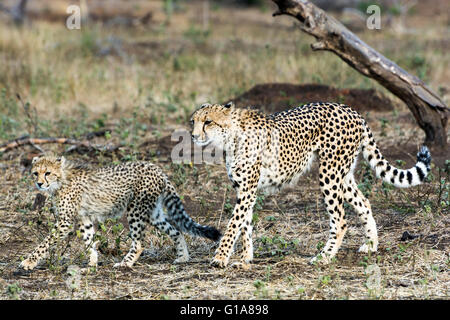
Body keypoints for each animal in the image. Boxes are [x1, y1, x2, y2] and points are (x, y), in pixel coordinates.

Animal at [189, 102, 428, 268]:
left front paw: (220, 258)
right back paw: (370, 244)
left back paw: (325, 256)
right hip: (343, 174)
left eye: (208, 122)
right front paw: (245, 258)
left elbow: (233, 224)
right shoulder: (244, 188)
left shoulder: (247, 189)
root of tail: (351, 110)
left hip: (329, 172)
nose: (192, 135)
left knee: (340, 219)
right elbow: (244, 224)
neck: (230, 138)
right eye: (193, 121)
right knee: (364, 202)